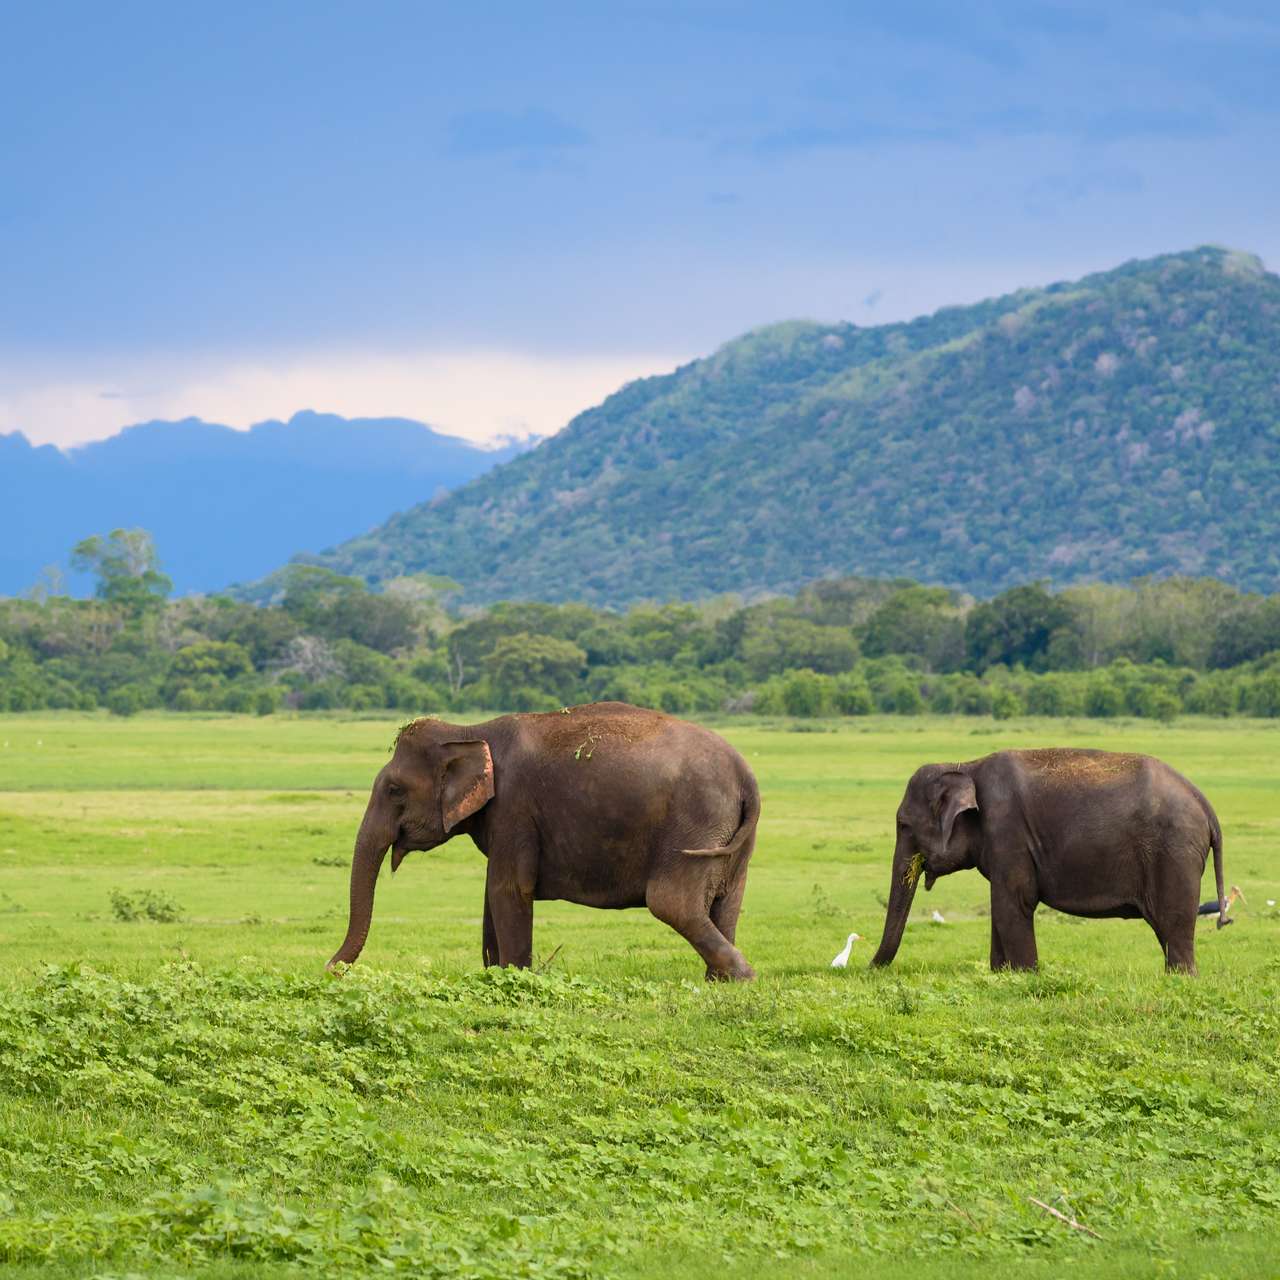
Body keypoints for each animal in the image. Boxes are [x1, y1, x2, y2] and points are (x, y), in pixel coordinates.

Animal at [870, 747, 1228, 972]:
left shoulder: (1008, 833)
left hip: (1174, 854)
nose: (869, 969)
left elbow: (1013, 902)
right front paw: (1001, 974)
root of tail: (1206, 805)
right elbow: (1002, 908)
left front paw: (1024, 975)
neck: (966, 765)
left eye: (903, 825)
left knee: (1175, 928)